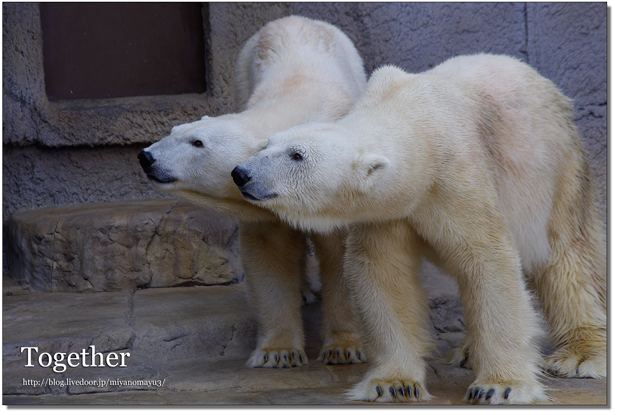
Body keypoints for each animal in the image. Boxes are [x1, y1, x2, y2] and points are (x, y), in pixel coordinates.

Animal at [138, 15, 366, 368]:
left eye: (197, 143)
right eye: (173, 131)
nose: (146, 156)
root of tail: (293, 18)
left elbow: (342, 253)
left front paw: (343, 348)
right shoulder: (262, 201)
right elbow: (270, 255)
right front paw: (279, 352)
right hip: (242, 70)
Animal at [232, 53, 604, 404]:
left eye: (297, 155)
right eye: (268, 144)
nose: (241, 173)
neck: (414, 119)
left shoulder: (459, 177)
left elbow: (488, 262)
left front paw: (500, 387)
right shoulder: (386, 209)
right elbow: (382, 273)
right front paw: (393, 384)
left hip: (556, 167)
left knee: (567, 256)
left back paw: (580, 356)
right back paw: (469, 352)